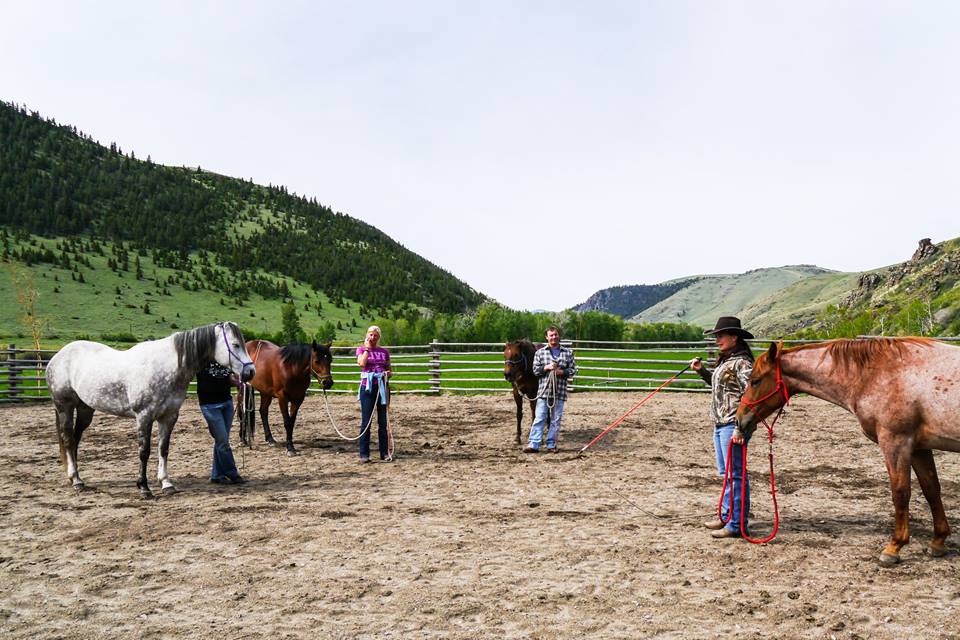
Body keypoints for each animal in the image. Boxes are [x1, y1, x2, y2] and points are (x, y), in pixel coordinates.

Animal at [45, 322, 255, 498]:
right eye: (236, 345)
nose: (250, 372)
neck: (167, 366)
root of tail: (57, 357)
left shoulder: (168, 417)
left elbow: (163, 449)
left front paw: (166, 483)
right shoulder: (144, 416)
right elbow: (144, 451)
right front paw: (144, 487)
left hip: (85, 409)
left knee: (75, 439)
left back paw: (74, 476)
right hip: (64, 406)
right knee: (67, 438)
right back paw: (77, 480)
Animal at [740, 340, 956, 564]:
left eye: (755, 381)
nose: (740, 418)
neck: (877, 373)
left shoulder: (896, 442)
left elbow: (900, 493)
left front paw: (894, 546)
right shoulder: (920, 448)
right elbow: (931, 489)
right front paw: (938, 542)